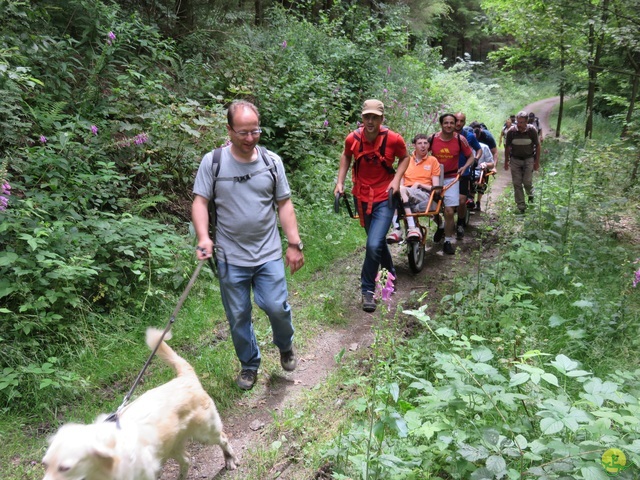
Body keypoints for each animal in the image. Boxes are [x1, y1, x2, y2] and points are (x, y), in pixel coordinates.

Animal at [42, 328, 238, 478]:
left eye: (65, 468)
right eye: (45, 464)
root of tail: (184, 377)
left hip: (205, 432)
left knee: (223, 438)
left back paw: (230, 459)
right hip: (171, 445)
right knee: (187, 459)